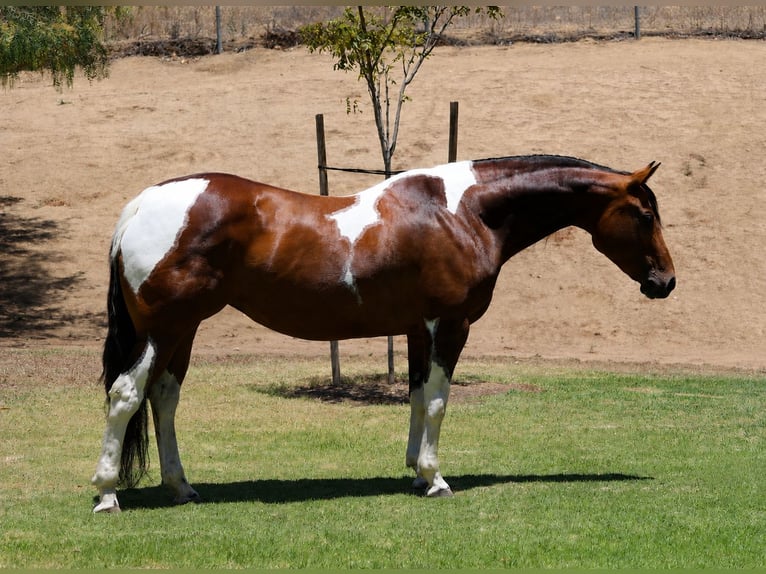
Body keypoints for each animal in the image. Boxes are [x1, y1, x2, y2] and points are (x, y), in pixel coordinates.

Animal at [91, 154, 675, 512]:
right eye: (645, 214)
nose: (665, 282)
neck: (465, 213)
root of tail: (140, 206)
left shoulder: (418, 329)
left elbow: (417, 396)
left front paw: (416, 472)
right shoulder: (449, 325)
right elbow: (438, 400)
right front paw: (436, 480)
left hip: (182, 329)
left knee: (164, 398)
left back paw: (181, 487)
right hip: (163, 329)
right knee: (126, 395)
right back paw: (106, 494)